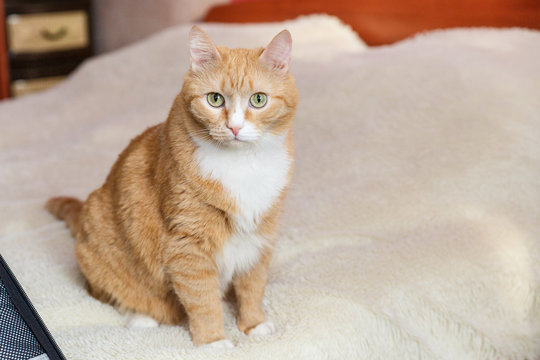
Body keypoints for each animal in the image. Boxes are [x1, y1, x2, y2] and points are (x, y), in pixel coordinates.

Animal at [45, 26, 300, 348]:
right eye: (215, 99)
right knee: (106, 295)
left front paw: (254, 324)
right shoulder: (188, 247)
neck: (242, 165)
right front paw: (213, 342)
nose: (235, 128)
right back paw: (141, 318)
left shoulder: (260, 234)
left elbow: (253, 285)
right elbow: (203, 300)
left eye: (258, 100)